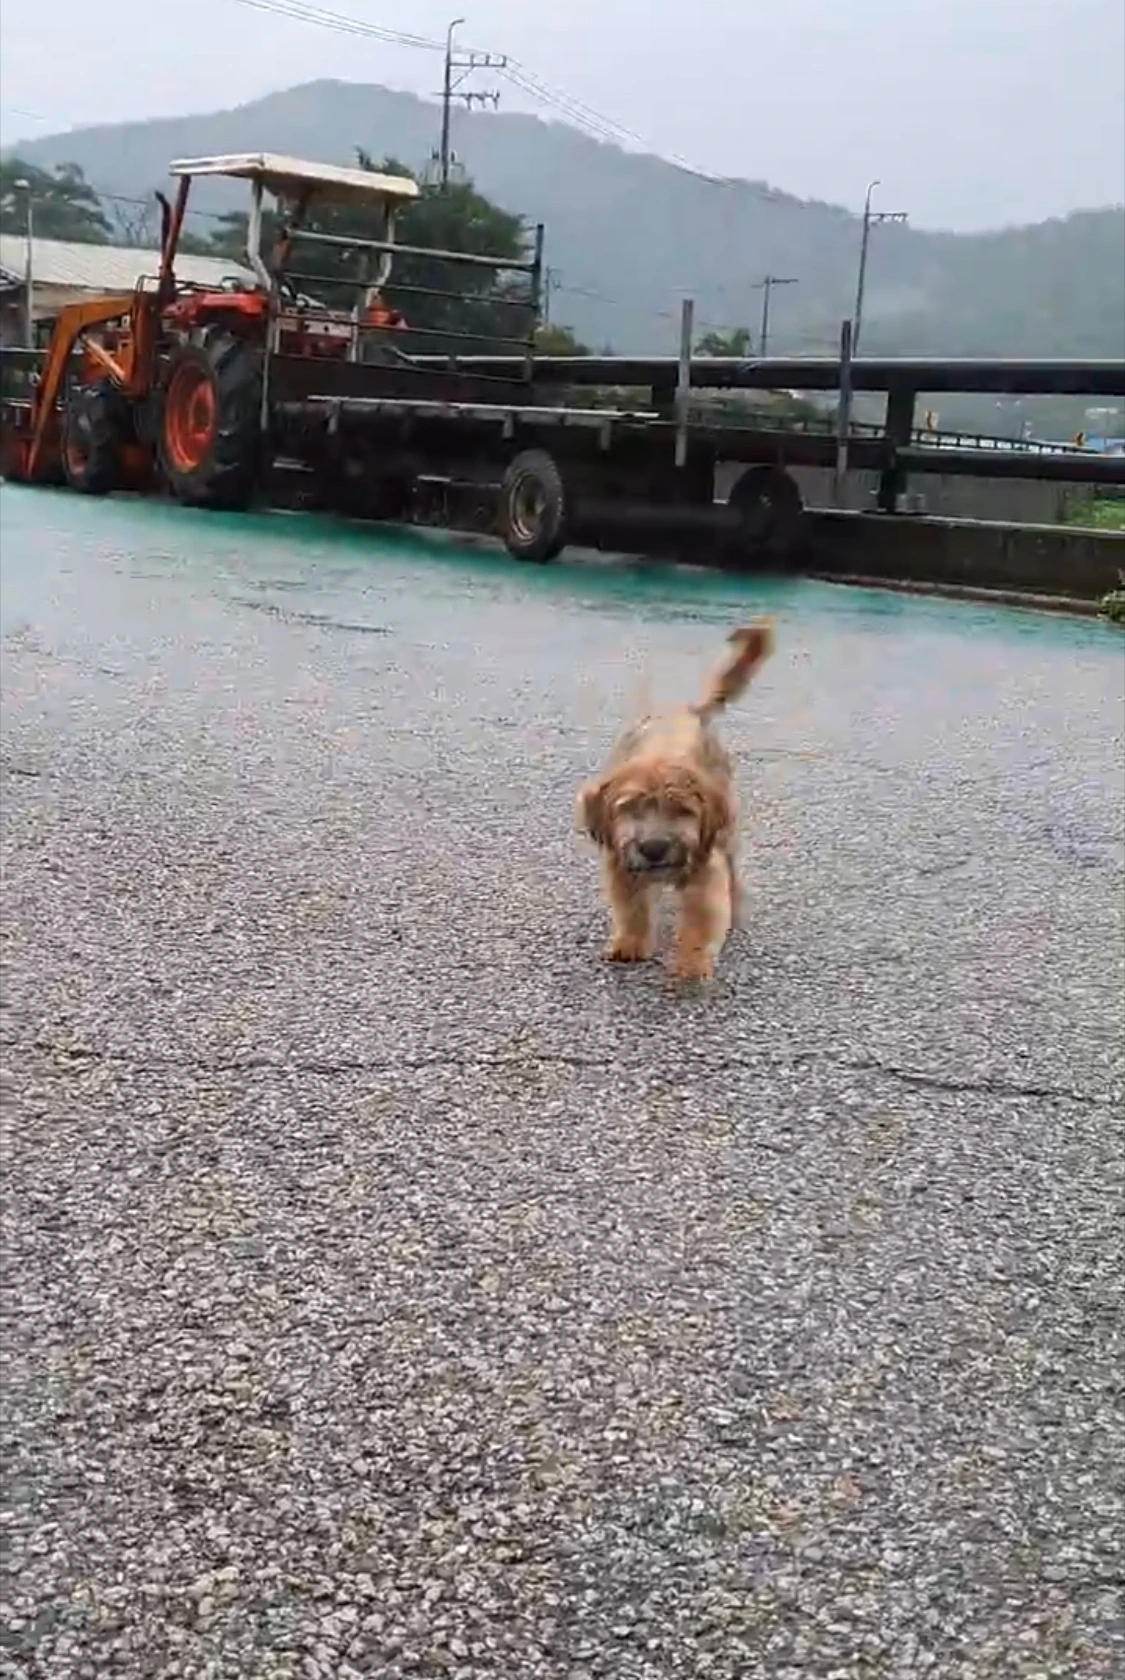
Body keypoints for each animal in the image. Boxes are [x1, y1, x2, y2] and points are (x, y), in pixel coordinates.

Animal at [576, 621, 774, 981]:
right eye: (629, 808)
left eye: (682, 810)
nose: (654, 848)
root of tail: (689, 709)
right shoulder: (620, 862)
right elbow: (631, 909)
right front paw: (630, 943)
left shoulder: (706, 870)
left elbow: (700, 922)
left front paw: (691, 965)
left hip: (726, 833)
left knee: (733, 871)